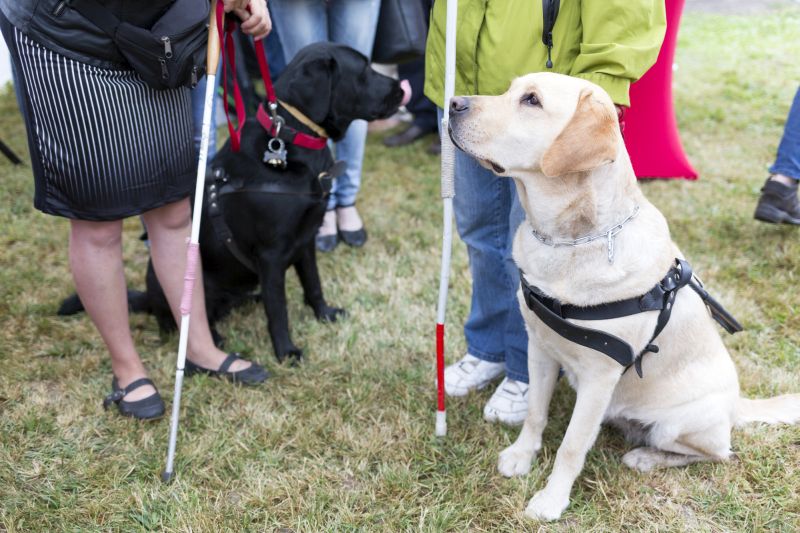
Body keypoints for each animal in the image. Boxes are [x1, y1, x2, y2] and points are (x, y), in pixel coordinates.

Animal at [62, 42, 410, 362]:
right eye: (364, 71)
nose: (402, 88)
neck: (291, 139)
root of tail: (148, 295)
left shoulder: (307, 239)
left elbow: (313, 284)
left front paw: (324, 314)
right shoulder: (272, 254)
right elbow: (279, 308)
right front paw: (286, 352)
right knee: (175, 319)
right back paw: (212, 338)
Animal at [446, 72, 800, 520]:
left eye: (532, 101)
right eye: (511, 89)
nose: (453, 103)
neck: (571, 241)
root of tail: (738, 405)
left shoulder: (600, 377)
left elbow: (571, 447)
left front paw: (551, 499)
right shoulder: (539, 349)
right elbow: (535, 413)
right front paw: (521, 456)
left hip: (679, 424)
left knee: (718, 453)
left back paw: (645, 458)